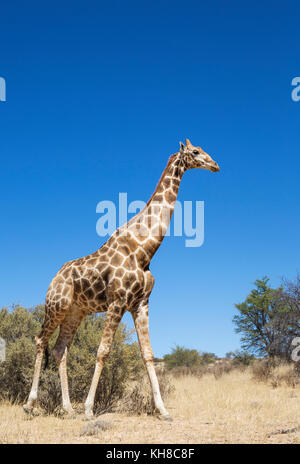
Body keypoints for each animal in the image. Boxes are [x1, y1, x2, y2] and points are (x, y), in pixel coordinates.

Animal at [23, 138, 219, 420]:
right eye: (195, 152)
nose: (215, 165)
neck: (144, 249)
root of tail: (53, 279)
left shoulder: (140, 303)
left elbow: (148, 354)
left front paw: (163, 410)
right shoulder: (117, 301)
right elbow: (103, 351)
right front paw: (89, 409)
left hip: (75, 312)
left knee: (60, 350)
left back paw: (68, 408)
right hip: (56, 306)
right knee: (40, 340)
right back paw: (30, 404)